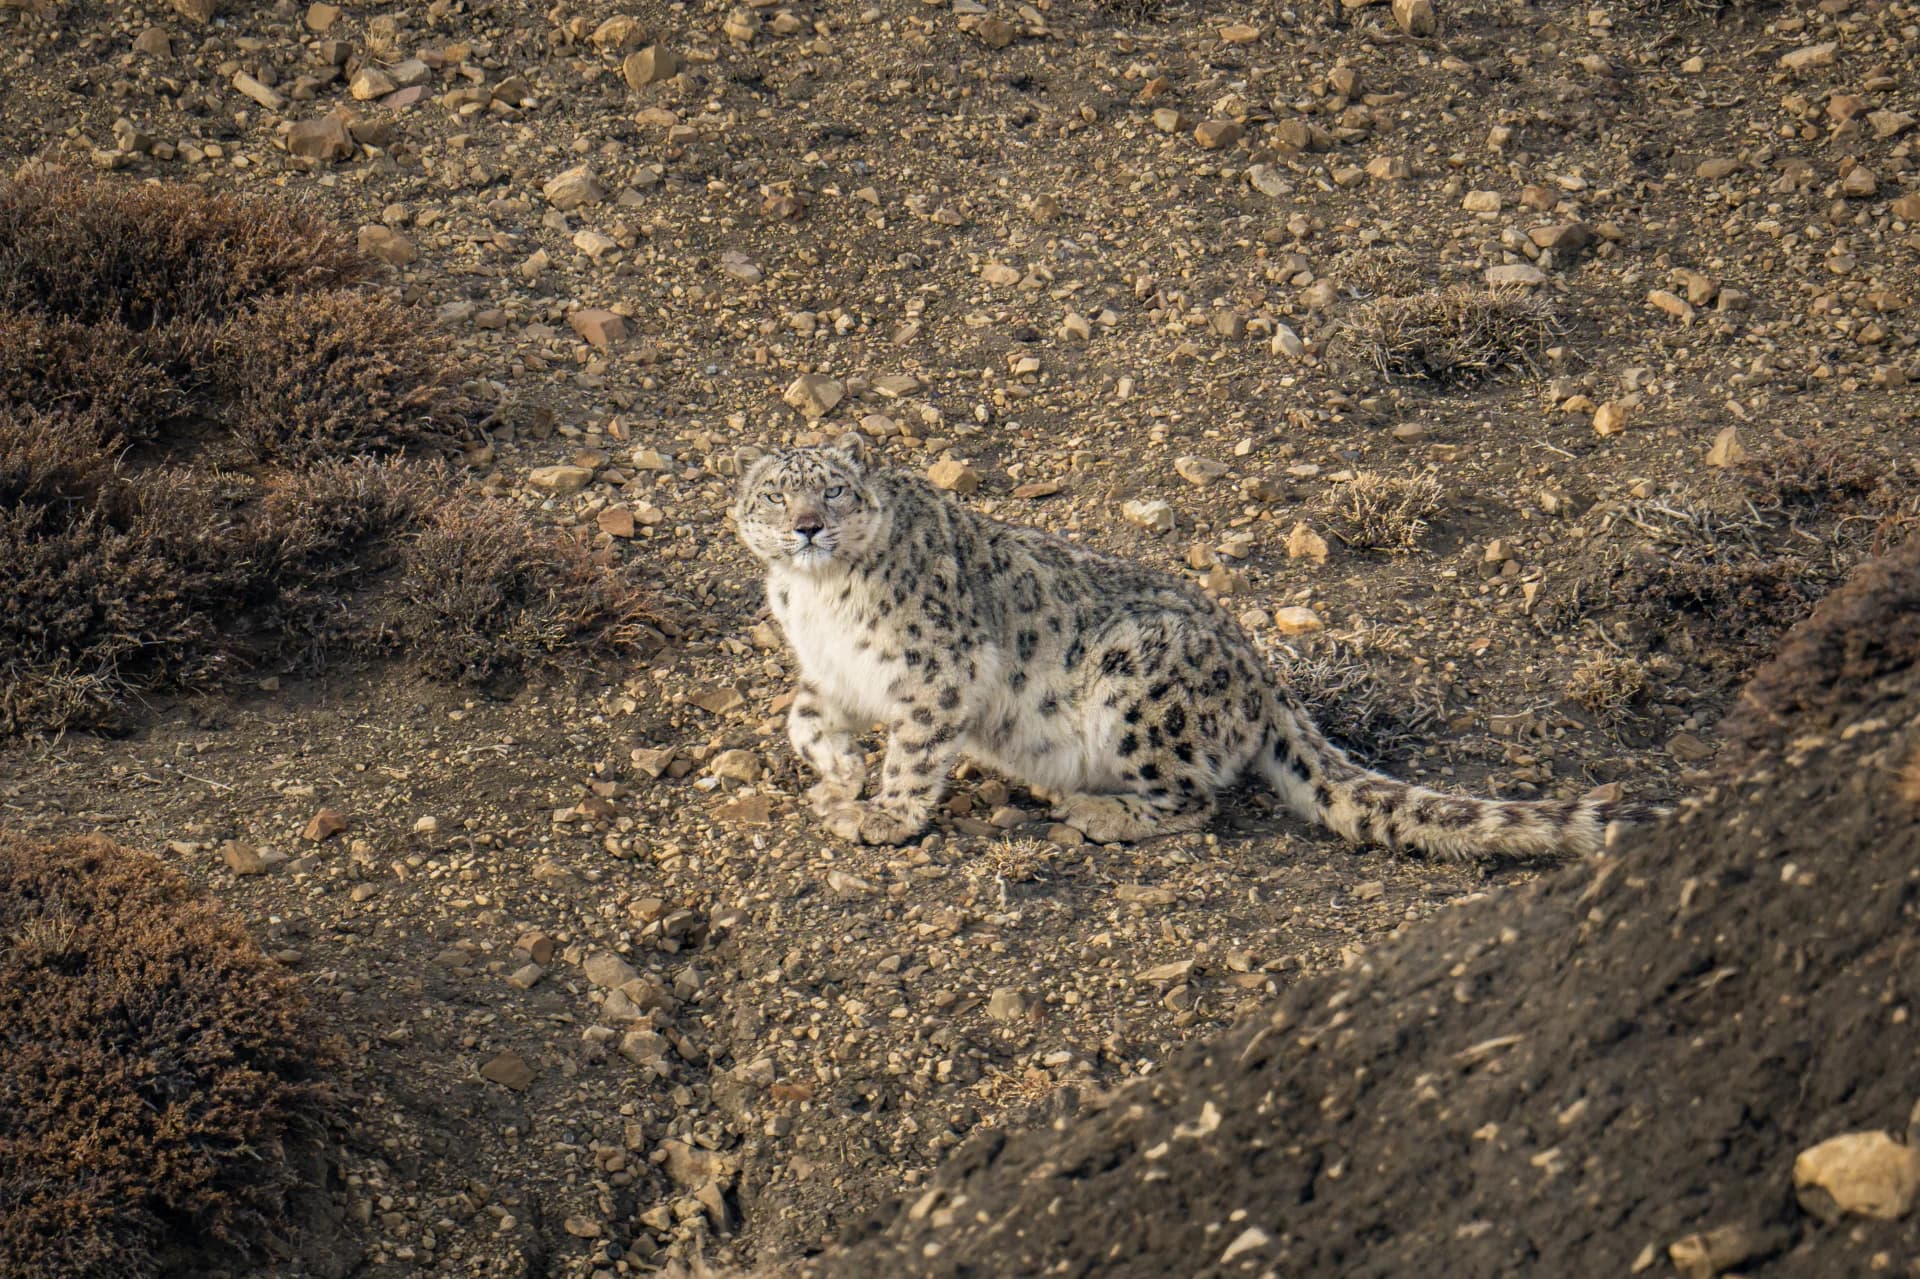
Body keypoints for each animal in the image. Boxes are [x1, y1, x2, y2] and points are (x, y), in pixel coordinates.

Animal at [733, 436, 1657, 859]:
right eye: (775, 493)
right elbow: (801, 713)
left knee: (1193, 798)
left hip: (1140, 687)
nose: (806, 525)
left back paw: (1094, 809)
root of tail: (1260, 669)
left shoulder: (938, 675)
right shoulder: (830, 669)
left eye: (833, 489)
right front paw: (838, 767)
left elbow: (917, 752)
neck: (816, 602)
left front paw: (880, 812)